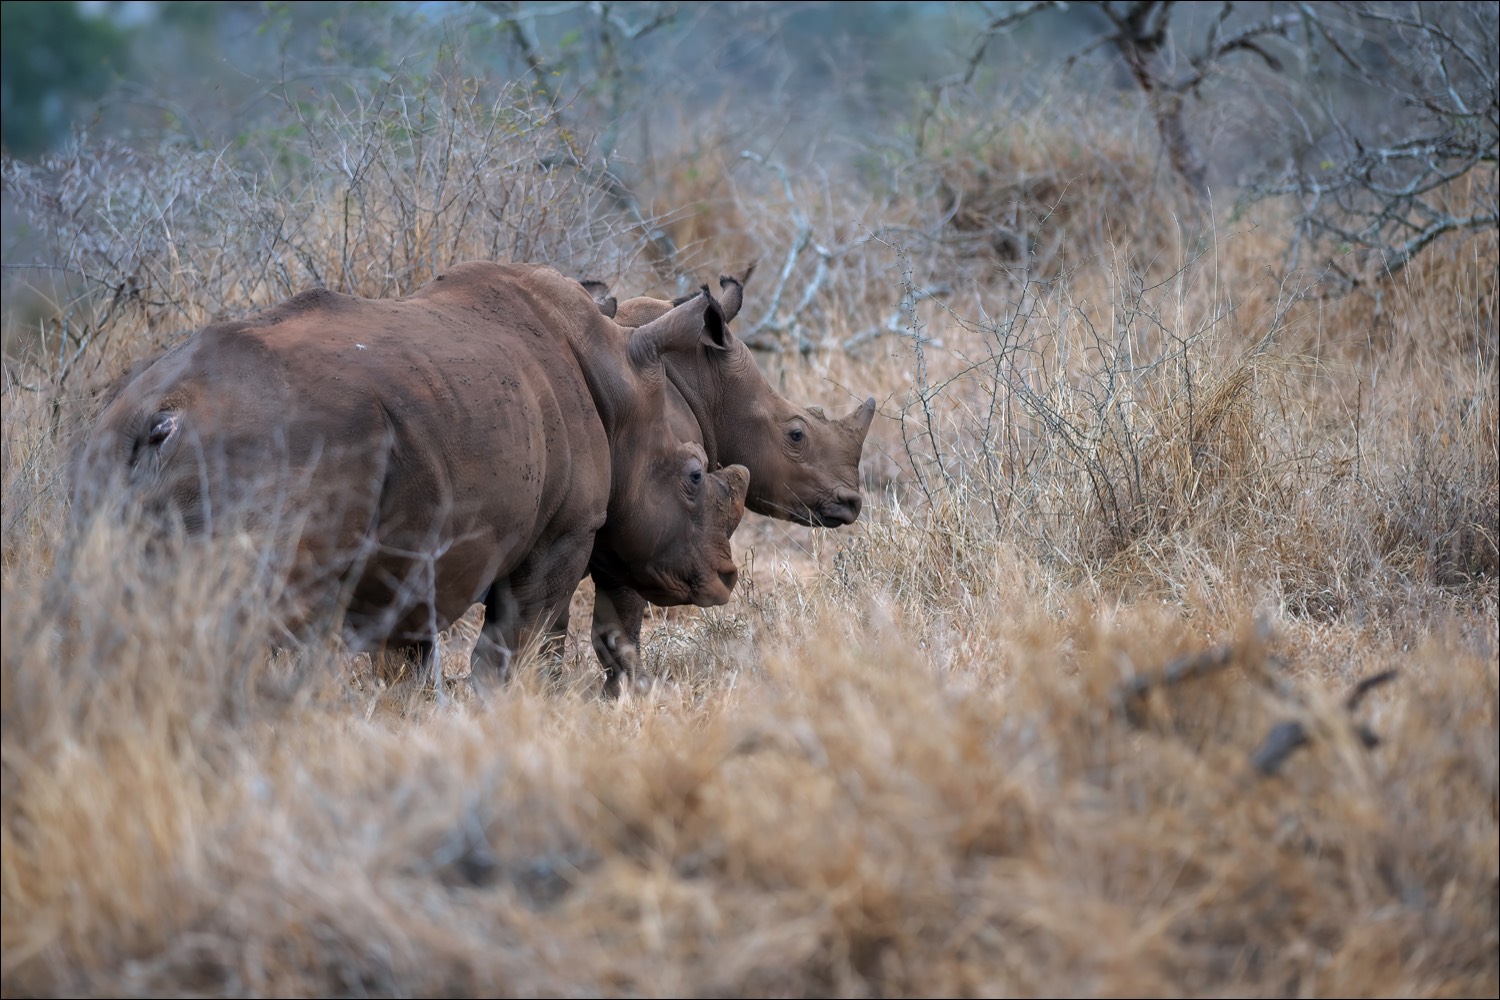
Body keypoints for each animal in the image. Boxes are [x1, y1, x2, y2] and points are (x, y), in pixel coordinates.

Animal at [576, 269, 876, 677]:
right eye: (796, 435)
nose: (852, 503)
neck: (700, 380)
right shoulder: (644, 521)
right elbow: (621, 626)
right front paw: (636, 687)